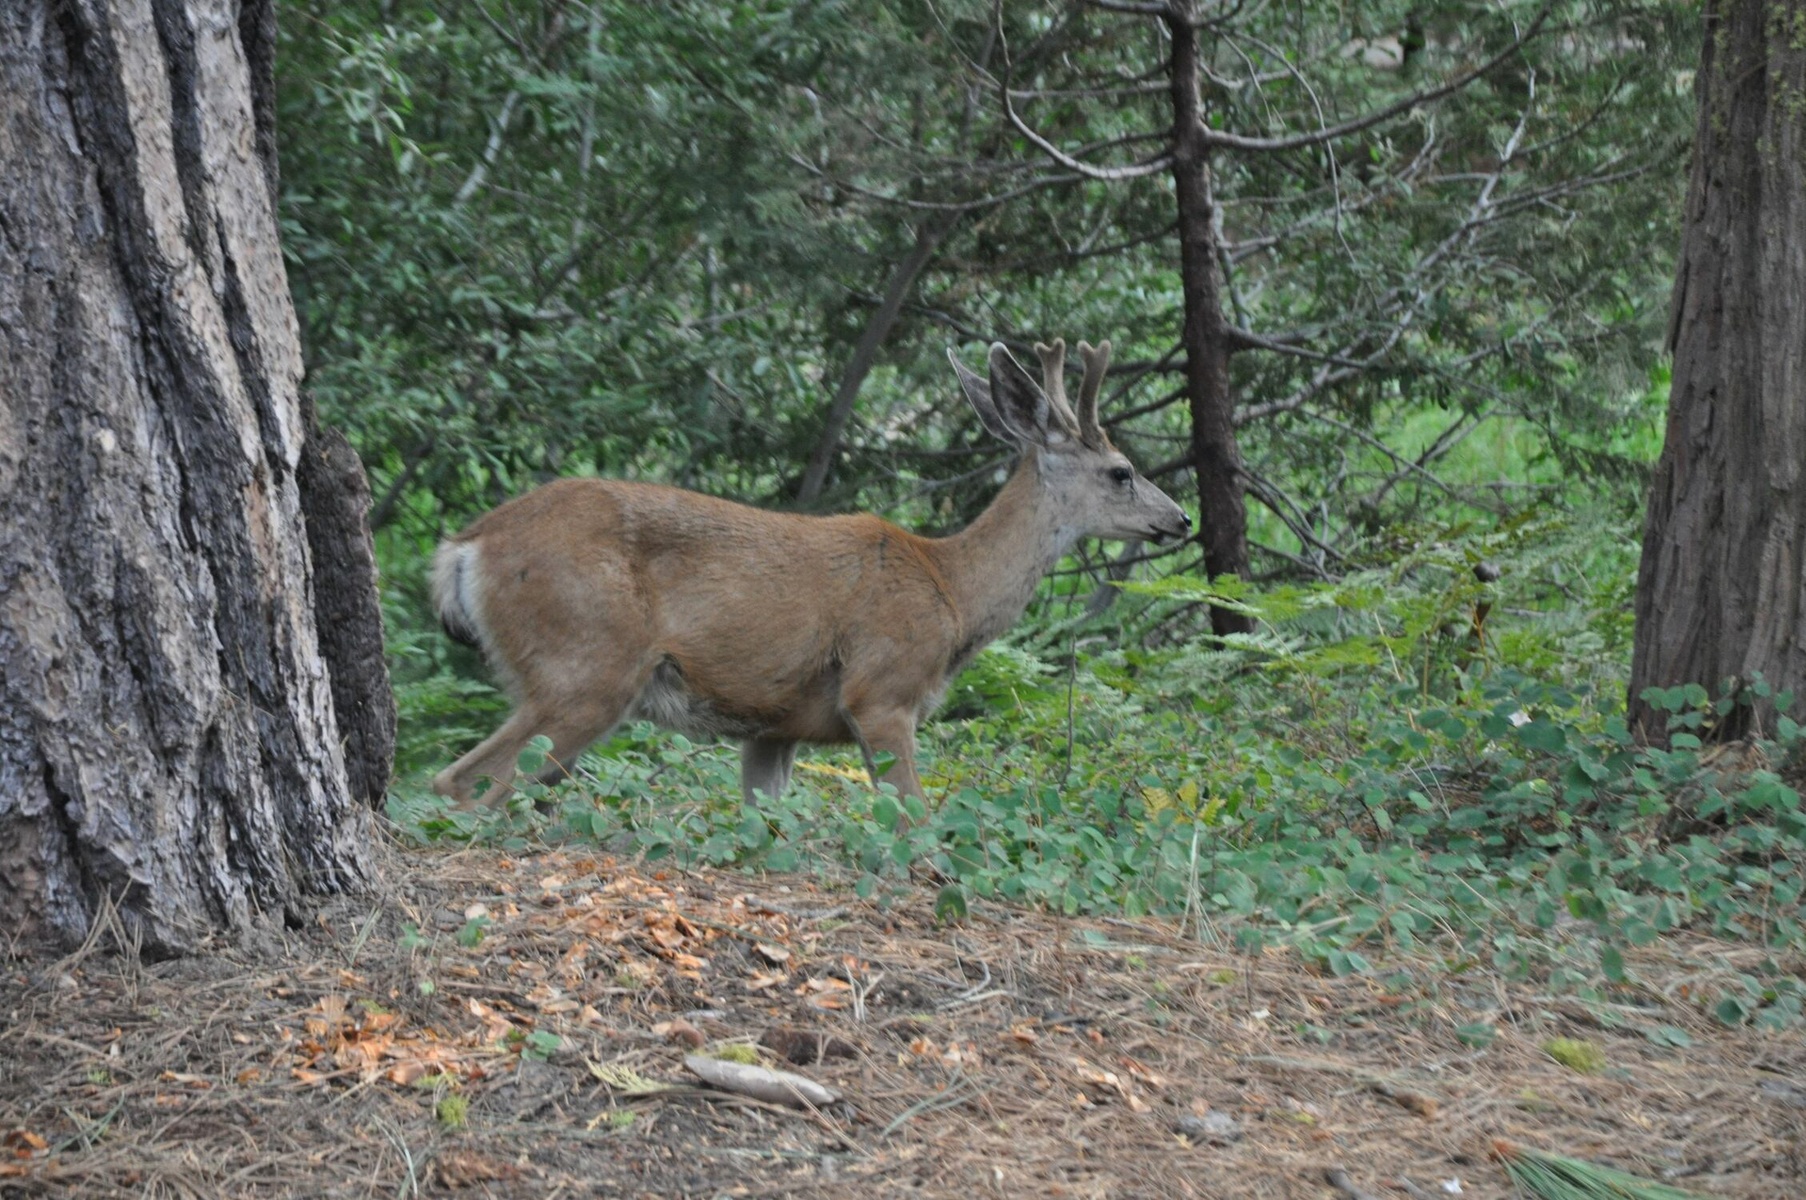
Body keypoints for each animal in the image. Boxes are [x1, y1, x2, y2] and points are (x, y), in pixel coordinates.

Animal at [430, 338, 1191, 814]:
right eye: (1121, 471)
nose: (1181, 518)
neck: (951, 590)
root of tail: (467, 547)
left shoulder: (774, 729)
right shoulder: (882, 688)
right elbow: (915, 816)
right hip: (586, 664)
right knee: (464, 784)